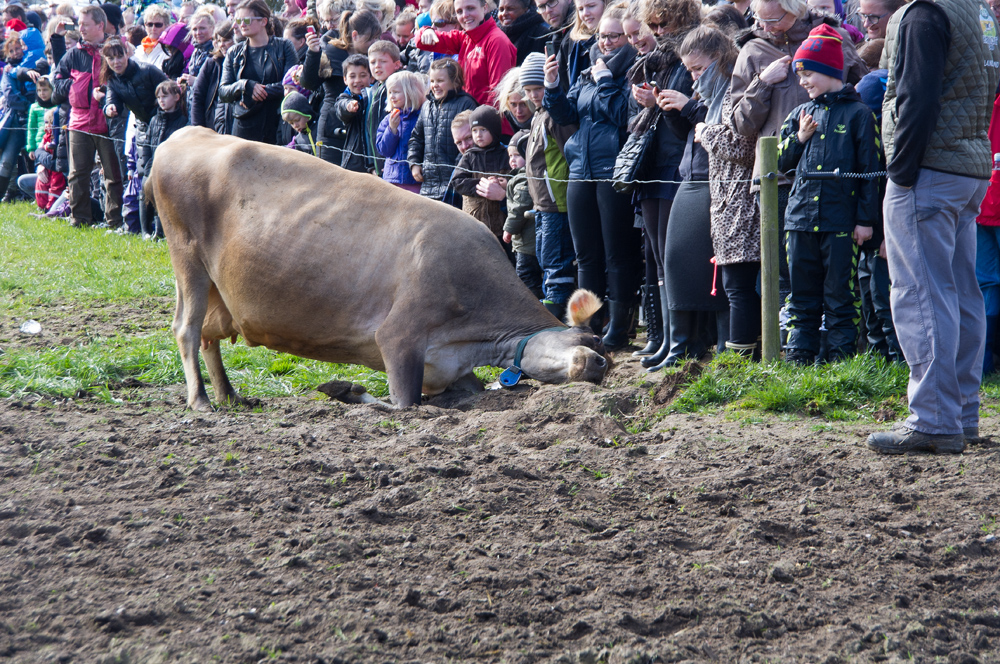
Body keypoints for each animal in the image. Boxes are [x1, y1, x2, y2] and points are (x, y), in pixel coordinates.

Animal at [148, 128, 608, 410]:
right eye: (591, 341)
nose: (603, 366)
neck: (475, 337)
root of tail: (186, 134)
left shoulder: (449, 369)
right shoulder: (398, 337)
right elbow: (402, 404)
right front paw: (344, 389)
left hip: (218, 287)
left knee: (209, 333)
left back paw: (229, 396)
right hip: (186, 255)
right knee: (186, 327)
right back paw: (201, 401)